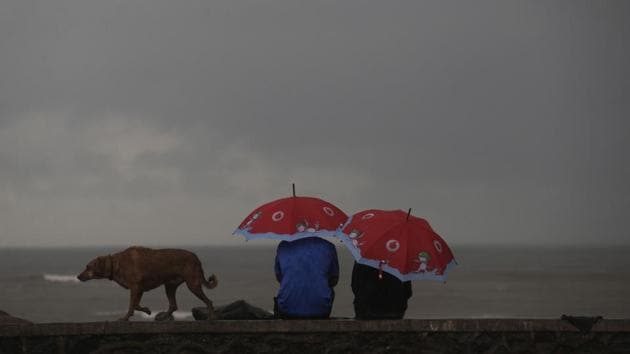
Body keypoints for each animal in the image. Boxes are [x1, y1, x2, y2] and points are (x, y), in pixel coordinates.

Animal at [77, 246, 217, 320]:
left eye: (88, 267)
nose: (78, 276)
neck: (115, 264)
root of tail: (196, 257)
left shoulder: (135, 288)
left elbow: (132, 305)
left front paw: (126, 318)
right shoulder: (139, 289)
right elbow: (136, 305)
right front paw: (146, 310)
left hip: (192, 284)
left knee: (209, 301)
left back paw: (211, 317)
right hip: (169, 286)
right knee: (173, 305)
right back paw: (163, 316)